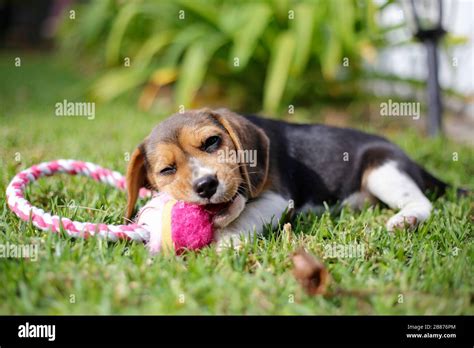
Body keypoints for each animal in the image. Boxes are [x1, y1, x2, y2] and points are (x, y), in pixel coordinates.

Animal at [127, 107, 456, 249]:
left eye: (211, 142)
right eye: (167, 170)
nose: (206, 185)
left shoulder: (277, 198)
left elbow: (246, 216)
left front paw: (226, 241)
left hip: (383, 169)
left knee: (423, 202)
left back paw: (407, 220)